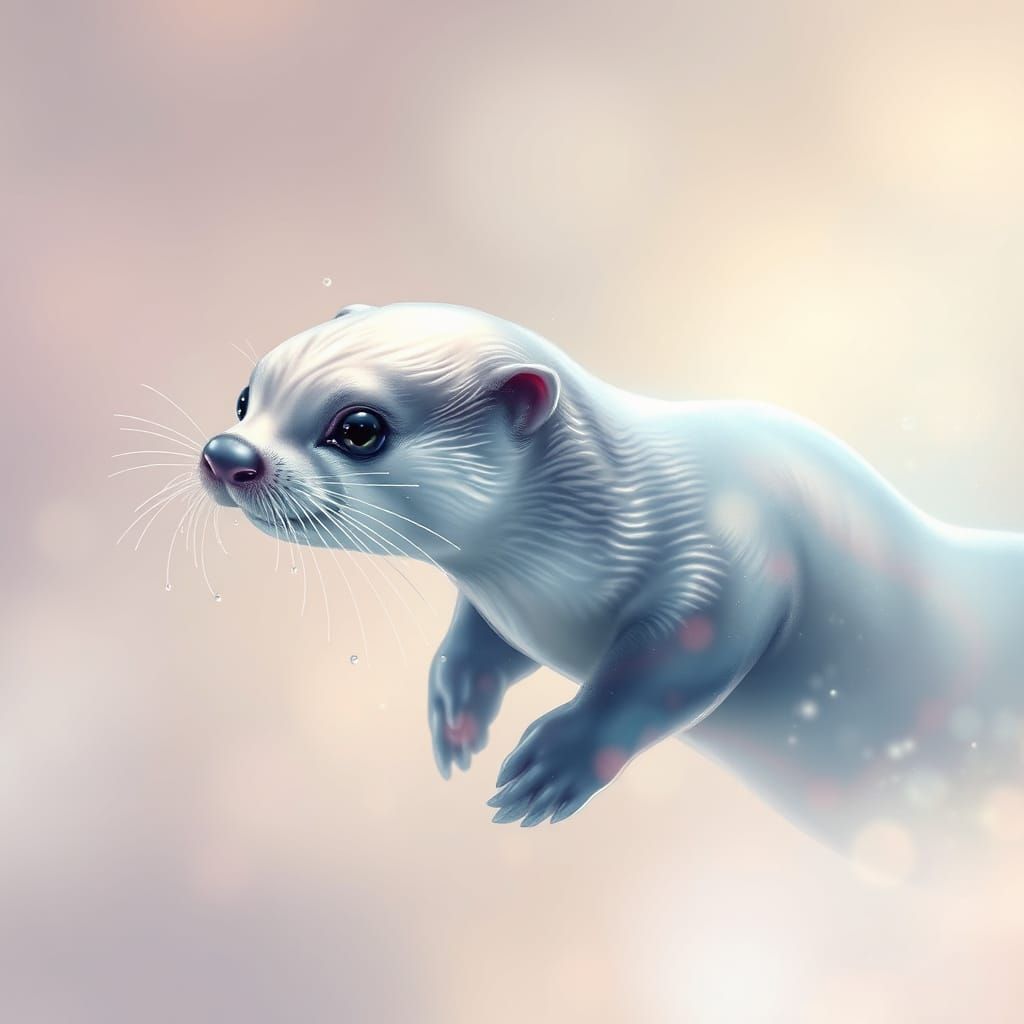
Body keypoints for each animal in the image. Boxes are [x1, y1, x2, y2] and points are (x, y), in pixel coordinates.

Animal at [198, 302, 1024, 856]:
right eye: (245, 395)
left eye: (360, 428)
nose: (228, 453)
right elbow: (484, 640)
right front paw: (457, 703)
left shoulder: (733, 551)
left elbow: (671, 666)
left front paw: (560, 757)